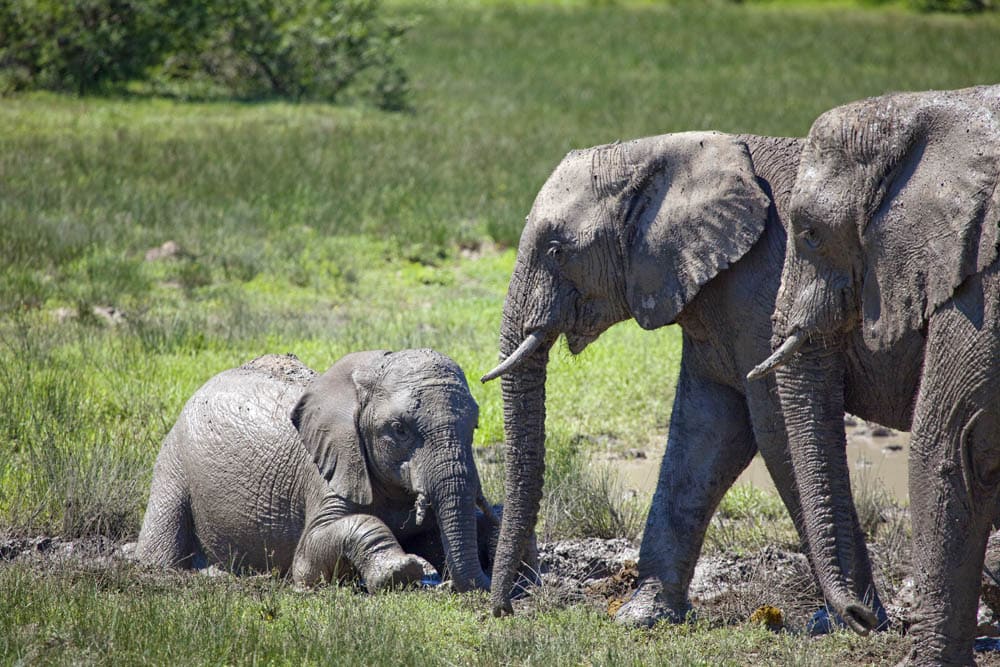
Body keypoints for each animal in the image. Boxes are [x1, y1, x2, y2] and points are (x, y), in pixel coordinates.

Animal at [137, 348, 496, 592]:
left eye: (475, 426)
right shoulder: (326, 471)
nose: (450, 585)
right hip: (174, 458)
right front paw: (405, 569)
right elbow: (311, 556)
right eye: (399, 430)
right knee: (162, 544)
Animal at [482, 130, 892, 628]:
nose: (505, 607)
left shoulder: (765, 286)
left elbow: (778, 432)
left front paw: (858, 623)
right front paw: (642, 616)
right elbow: (706, 432)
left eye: (557, 252)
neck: (658, 151)